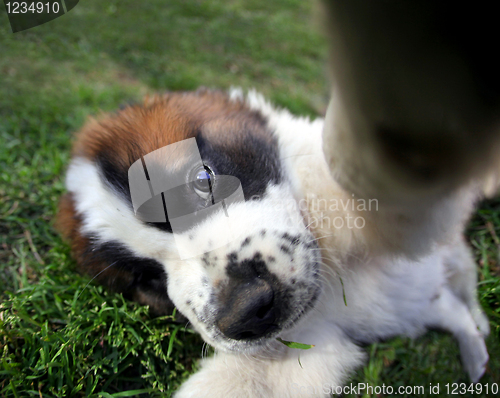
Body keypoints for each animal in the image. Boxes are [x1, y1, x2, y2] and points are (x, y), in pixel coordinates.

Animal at [56, 1, 498, 396]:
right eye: (145, 280)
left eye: (202, 178)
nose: (246, 312)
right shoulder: (305, 343)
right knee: (452, 307)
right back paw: (476, 352)